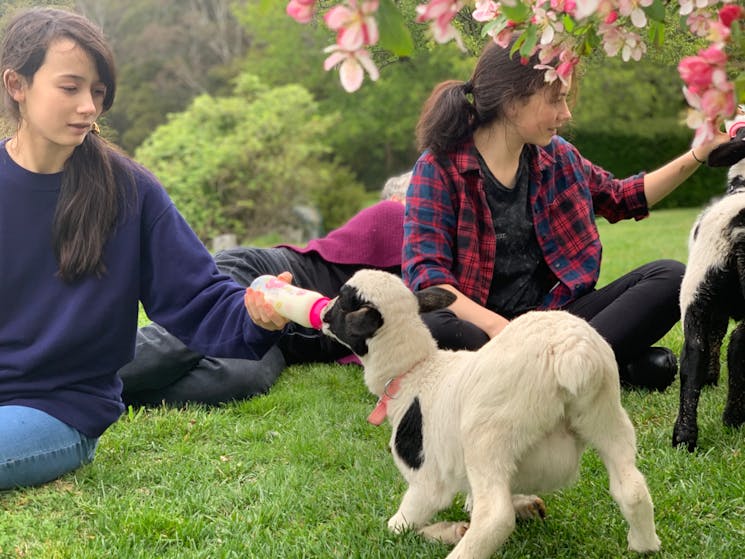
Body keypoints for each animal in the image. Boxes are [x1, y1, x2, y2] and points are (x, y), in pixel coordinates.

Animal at [320, 270, 656, 556]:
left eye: (342, 302)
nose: (322, 314)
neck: (416, 370)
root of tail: (569, 351)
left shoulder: (426, 478)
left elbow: (398, 527)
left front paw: (444, 531)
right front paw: (525, 505)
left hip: (488, 437)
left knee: (495, 517)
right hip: (606, 414)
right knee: (632, 488)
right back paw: (644, 545)